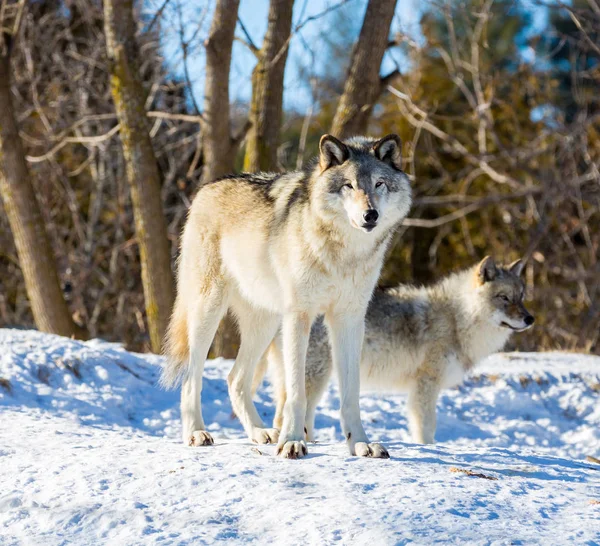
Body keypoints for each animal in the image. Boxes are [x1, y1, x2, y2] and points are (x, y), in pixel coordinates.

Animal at [161, 134, 412, 456]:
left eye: (379, 183)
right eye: (349, 185)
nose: (371, 215)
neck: (344, 253)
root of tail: (206, 188)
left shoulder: (349, 319)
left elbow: (351, 394)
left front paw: (360, 443)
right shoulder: (299, 316)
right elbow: (295, 391)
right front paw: (292, 440)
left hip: (265, 324)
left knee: (235, 379)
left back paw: (260, 433)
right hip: (208, 313)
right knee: (192, 377)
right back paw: (196, 432)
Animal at [258, 255, 536, 442]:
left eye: (521, 296)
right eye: (504, 298)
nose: (530, 319)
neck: (457, 318)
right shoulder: (425, 386)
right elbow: (426, 429)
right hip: (316, 378)